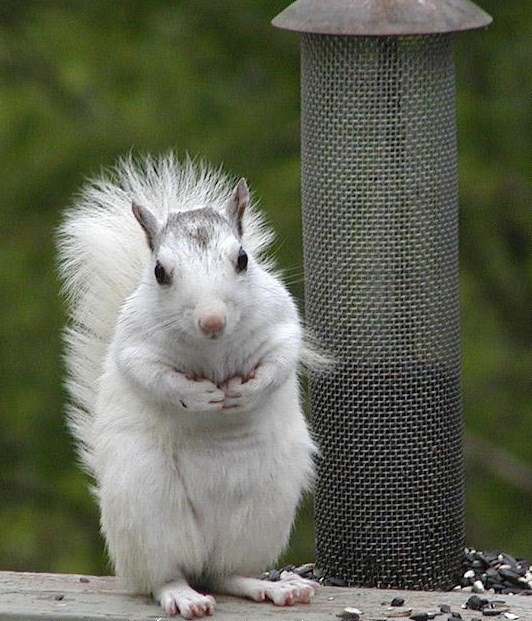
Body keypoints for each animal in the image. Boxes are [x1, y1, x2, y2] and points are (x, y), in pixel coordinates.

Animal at [57, 153, 320, 616]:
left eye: (243, 259)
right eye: (160, 271)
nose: (212, 321)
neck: (213, 350)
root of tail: (204, 554)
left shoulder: (282, 324)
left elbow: (280, 360)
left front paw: (245, 392)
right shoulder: (135, 345)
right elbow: (154, 376)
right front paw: (199, 396)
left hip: (262, 512)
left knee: (227, 574)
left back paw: (270, 586)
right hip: (150, 508)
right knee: (166, 575)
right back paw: (183, 595)